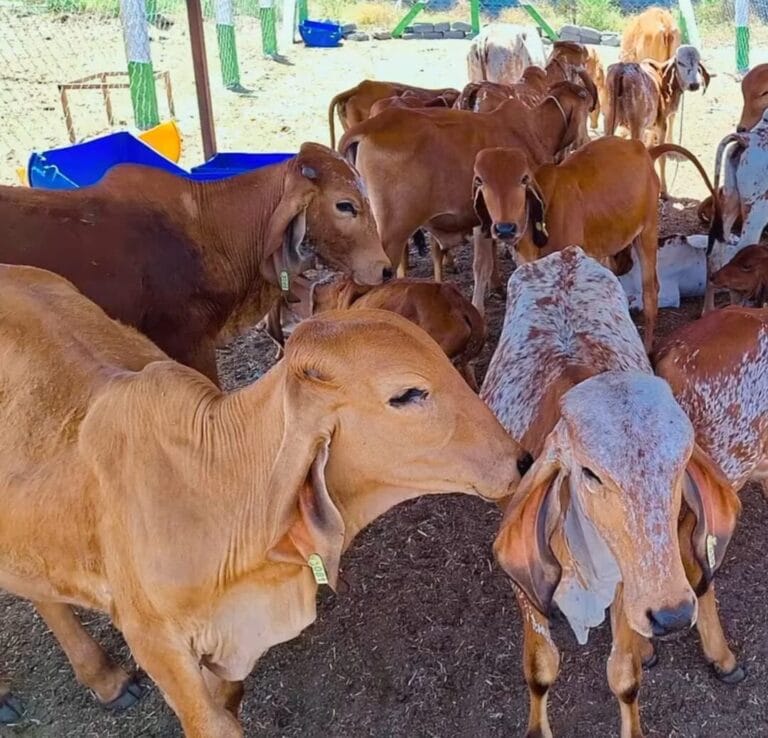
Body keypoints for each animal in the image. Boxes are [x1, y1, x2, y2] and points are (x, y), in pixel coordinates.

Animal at [470, 138, 717, 349]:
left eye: (523, 179)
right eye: (480, 180)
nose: (505, 228)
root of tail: (643, 148)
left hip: (647, 232)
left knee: (651, 291)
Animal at [483, 247, 740, 738]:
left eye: (681, 464)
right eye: (590, 473)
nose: (672, 614)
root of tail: (565, 254)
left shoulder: (629, 580)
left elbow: (624, 676)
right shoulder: (524, 582)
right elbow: (541, 667)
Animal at [605, 45, 711, 196]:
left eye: (697, 63)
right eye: (680, 62)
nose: (694, 85)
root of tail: (622, 69)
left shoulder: (650, 127)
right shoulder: (661, 125)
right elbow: (662, 157)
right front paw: (664, 190)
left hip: (609, 119)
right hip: (635, 126)